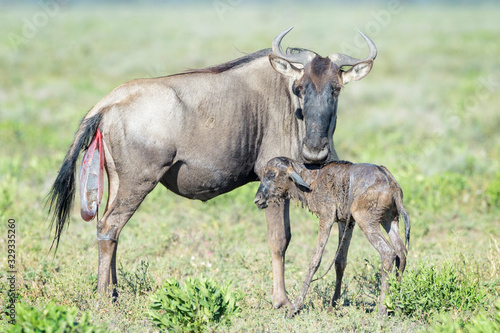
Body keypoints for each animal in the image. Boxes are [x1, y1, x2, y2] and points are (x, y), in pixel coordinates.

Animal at [254, 156, 410, 316]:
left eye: (271, 174)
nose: (257, 199)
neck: (312, 179)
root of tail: (389, 181)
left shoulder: (326, 218)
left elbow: (315, 260)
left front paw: (296, 307)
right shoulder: (346, 222)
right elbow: (340, 261)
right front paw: (333, 305)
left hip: (367, 222)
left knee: (388, 253)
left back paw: (382, 310)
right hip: (390, 220)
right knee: (401, 252)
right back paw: (396, 306)